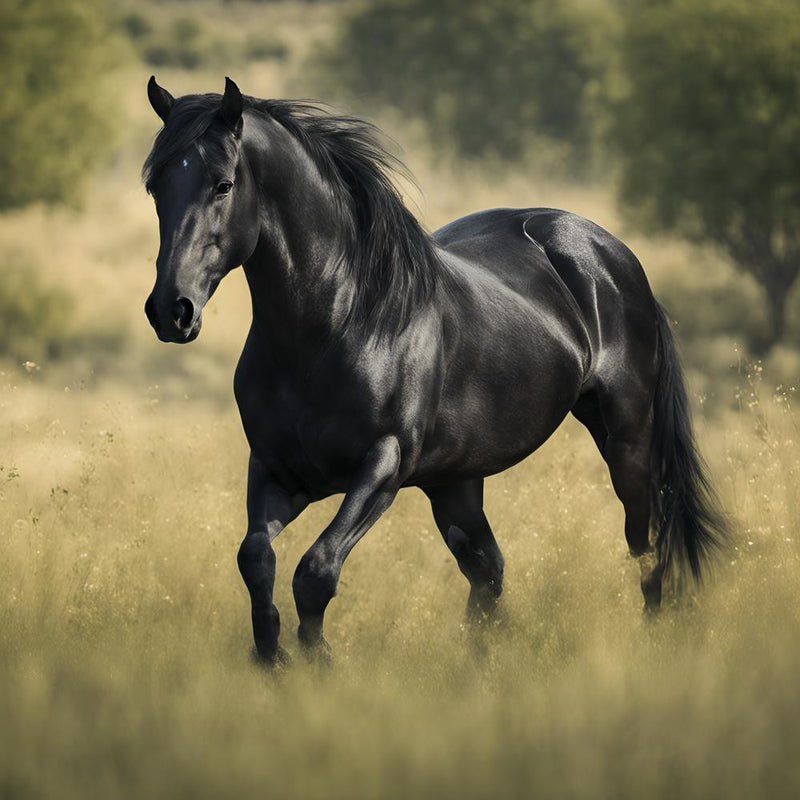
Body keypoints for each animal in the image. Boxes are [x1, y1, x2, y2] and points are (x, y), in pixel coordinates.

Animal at [142, 76, 729, 665]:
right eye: (155, 188)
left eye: (223, 185)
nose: (172, 310)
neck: (337, 323)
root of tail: (611, 254)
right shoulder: (276, 470)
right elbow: (256, 561)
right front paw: (272, 658)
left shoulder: (383, 466)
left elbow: (316, 572)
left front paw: (319, 663)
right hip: (456, 481)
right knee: (488, 572)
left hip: (625, 441)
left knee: (645, 548)